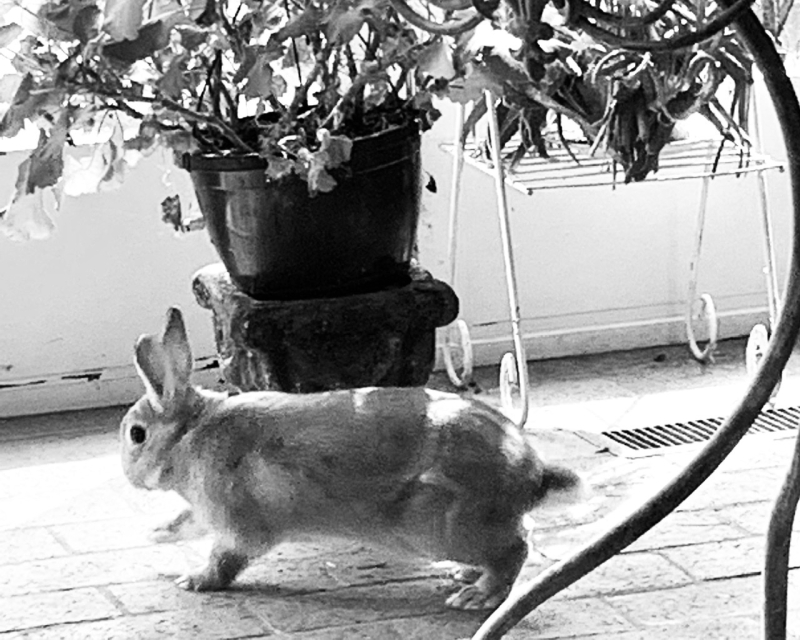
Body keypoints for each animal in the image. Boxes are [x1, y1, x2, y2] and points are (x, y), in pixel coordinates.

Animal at [120, 306, 582, 610]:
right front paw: (156, 534)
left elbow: (225, 560)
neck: (190, 434)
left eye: (137, 434)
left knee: (516, 549)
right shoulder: (204, 513)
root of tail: (530, 476)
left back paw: (476, 596)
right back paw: (467, 575)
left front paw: (193, 581)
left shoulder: (237, 527)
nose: (128, 475)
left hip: (442, 527)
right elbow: (186, 523)